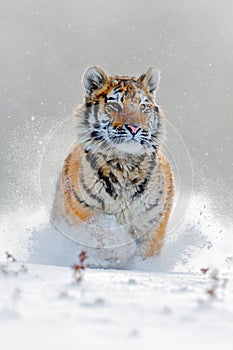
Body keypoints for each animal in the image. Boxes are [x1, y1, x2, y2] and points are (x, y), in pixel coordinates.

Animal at [52, 65, 174, 266]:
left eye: (143, 106)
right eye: (115, 105)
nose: (134, 128)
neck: (125, 164)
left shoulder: (155, 217)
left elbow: (149, 248)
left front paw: (144, 266)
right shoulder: (84, 209)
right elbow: (108, 234)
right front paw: (124, 250)